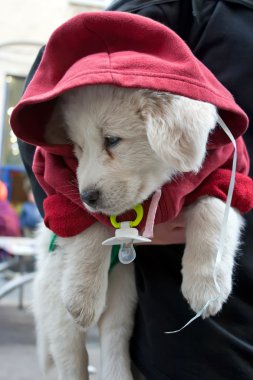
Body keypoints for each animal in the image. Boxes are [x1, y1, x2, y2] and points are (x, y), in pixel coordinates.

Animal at [33, 85, 243, 380]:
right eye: (78, 148)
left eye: (111, 140)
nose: (87, 197)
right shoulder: (64, 201)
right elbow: (92, 226)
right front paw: (83, 293)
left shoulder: (226, 178)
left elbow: (213, 213)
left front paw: (207, 287)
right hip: (56, 299)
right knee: (69, 354)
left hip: (125, 288)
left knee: (115, 332)